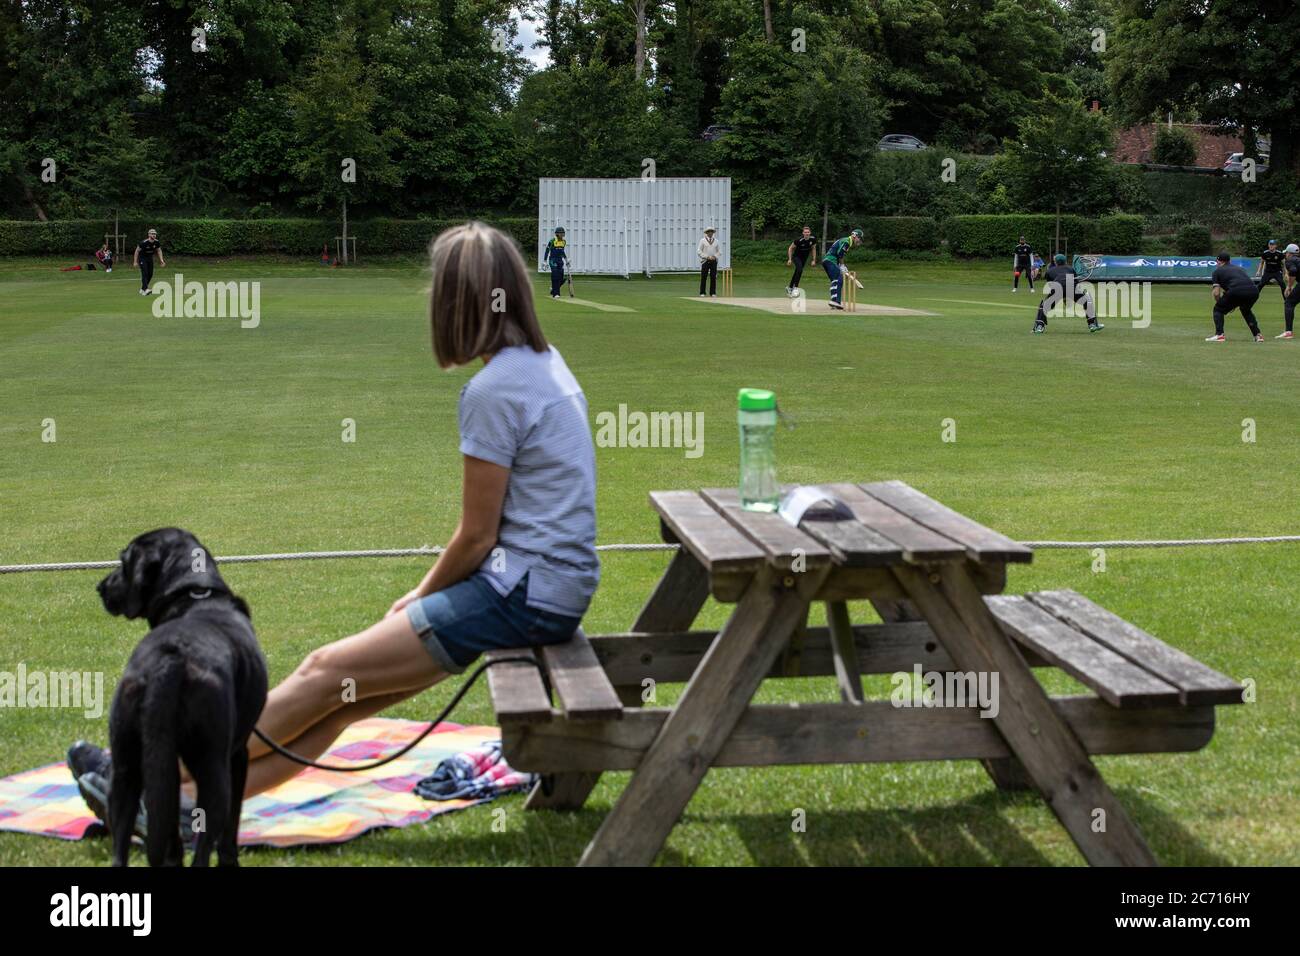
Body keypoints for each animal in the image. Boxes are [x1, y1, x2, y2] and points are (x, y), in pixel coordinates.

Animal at [99, 530, 269, 868]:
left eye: (123, 562)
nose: (100, 588)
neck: (194, 595)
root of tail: (171, 659)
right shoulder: (239, 754)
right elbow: (231, 829)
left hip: (125, 767)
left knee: (122, 846)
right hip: (214, 770)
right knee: (205, 847)